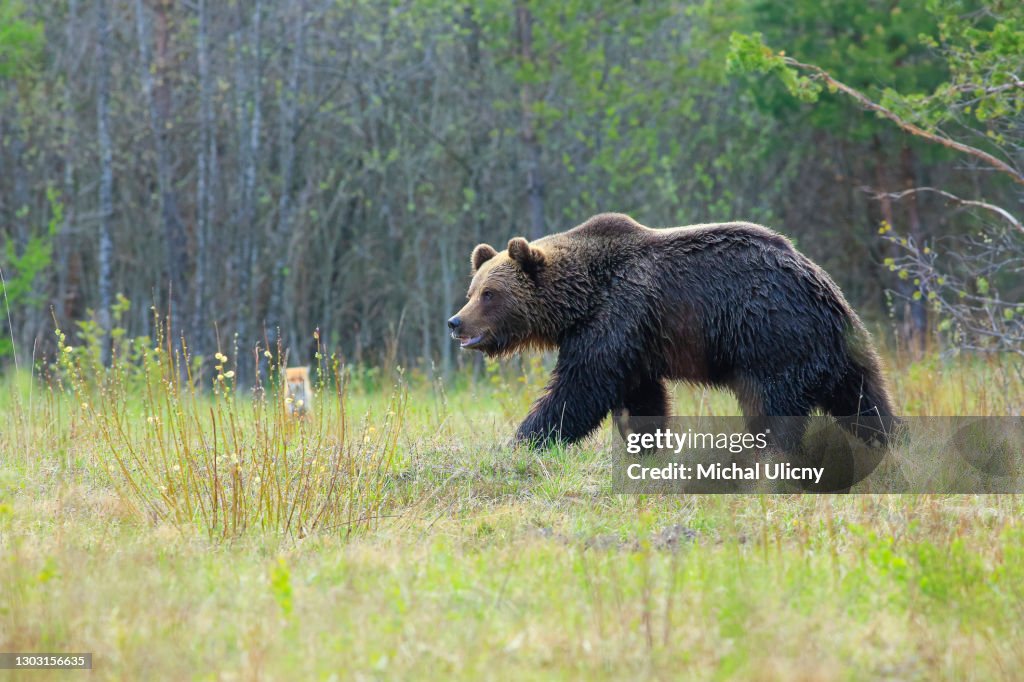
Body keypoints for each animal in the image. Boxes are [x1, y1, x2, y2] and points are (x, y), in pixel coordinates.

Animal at [447, 212, 897, 450]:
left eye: (490, 294)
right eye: (471, 291)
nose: (455, 322)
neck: (581, 300)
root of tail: (821, 285)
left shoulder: (617, 317)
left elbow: (579, 387)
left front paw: (526, 438)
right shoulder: (634, 342)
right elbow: (641, 395)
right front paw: (646, 445)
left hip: (773, 337)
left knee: (774, 407)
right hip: (845, 350)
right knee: (865, 401)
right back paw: (893, 442)